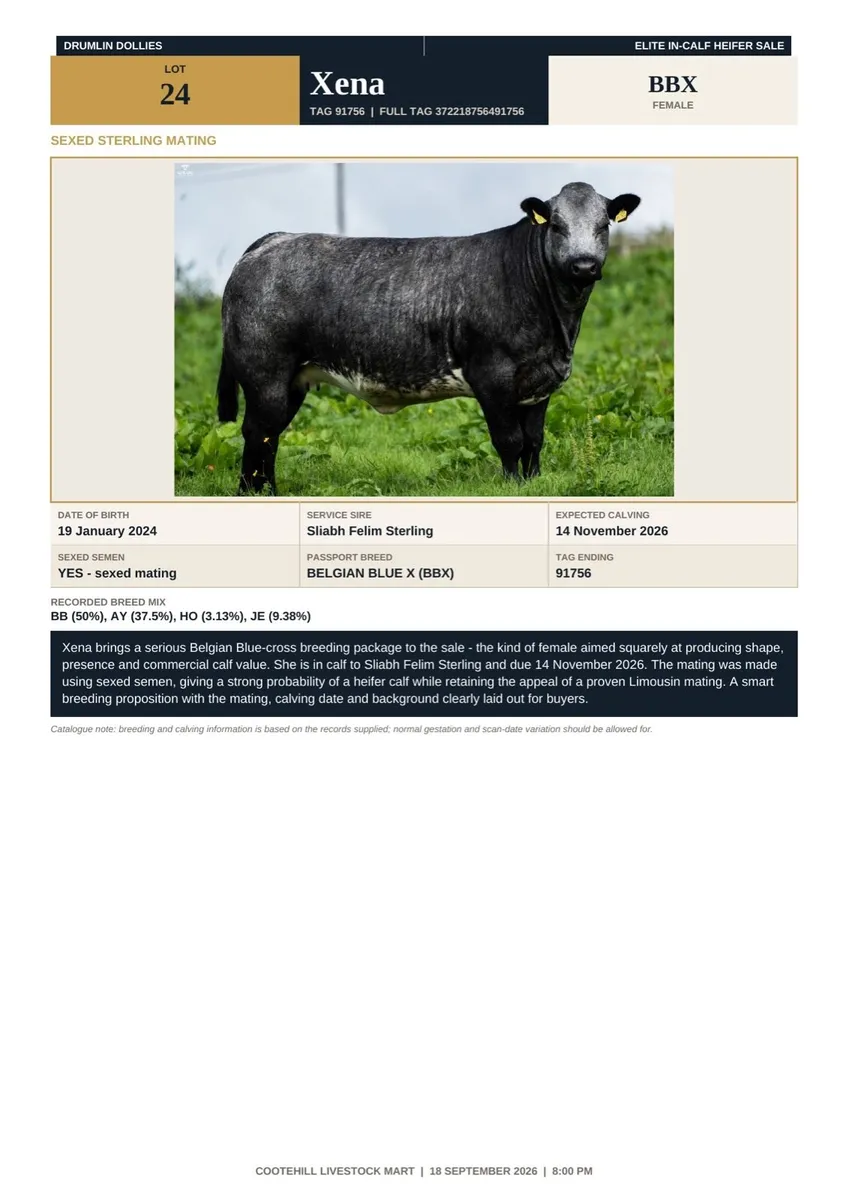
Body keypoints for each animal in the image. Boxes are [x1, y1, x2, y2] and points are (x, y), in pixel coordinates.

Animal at [216, 182, 641, 493]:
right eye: (555, 225)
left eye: (604, 225)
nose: (583, 265)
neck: (557, 330)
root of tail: (273, 240)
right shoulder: (492, 377)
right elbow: (510, 440)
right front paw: (512, 487)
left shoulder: (540, 383)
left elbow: (533, 440)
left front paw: (532, 483)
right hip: (265, 375)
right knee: (258, 432)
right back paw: (253, 493)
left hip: (292, 381)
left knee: (269, 437)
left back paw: (268, 492)